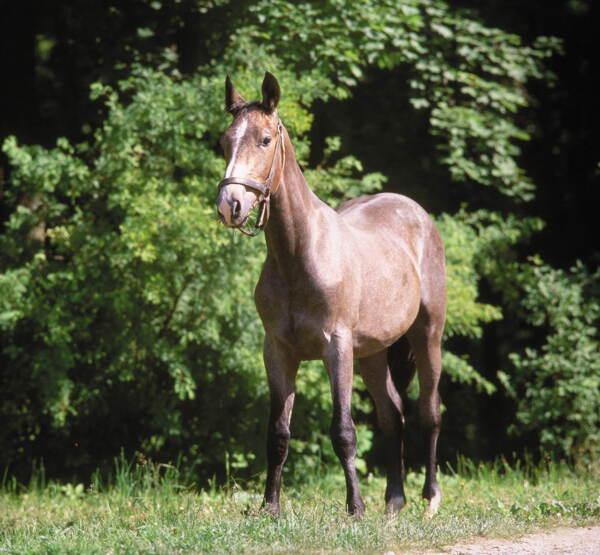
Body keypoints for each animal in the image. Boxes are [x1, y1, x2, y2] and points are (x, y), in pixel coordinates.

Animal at [216, 71, 446, 520]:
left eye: (265, 140)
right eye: (224, 141)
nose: (229, 205)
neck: (300, 256)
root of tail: (417, 213)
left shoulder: (335, 348)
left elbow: (343, 431)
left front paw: (354, 508)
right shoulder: (278, 352)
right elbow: (278, 433)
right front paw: (270, 507)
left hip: (427, 335)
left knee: (428, 412)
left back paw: (429, 499)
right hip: (372, 354)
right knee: (392, 414)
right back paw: (394, 502)